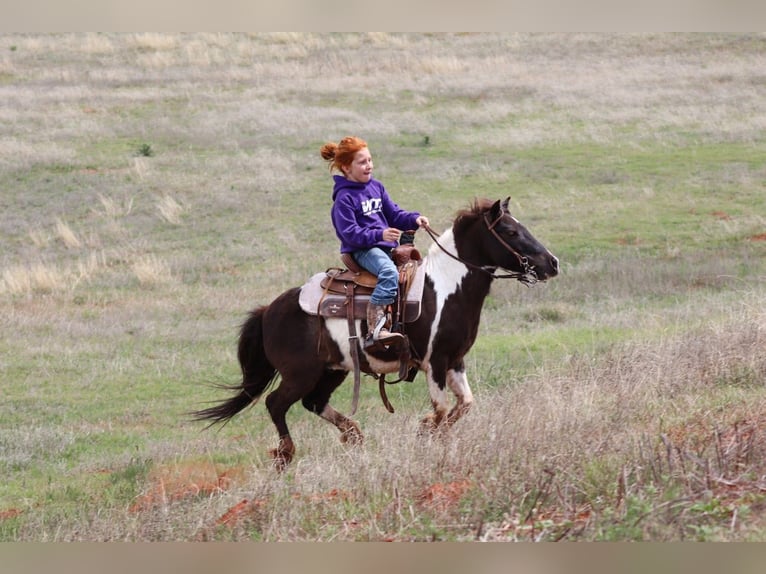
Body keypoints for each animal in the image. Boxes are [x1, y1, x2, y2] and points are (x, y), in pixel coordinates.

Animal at [192, 197, 559, 470]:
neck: (445, 288)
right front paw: (427, 433)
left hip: (333, 370)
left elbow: (464, 404)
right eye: (511, 231)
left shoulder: (455, 361)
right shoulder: (435, 362)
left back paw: (353, 435)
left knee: (314, 402)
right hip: (300, 373)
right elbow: (442, 410)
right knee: (276, 403)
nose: (552, 263)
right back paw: (286, 453)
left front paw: (429, 432)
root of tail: (269, 310)